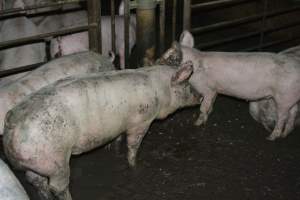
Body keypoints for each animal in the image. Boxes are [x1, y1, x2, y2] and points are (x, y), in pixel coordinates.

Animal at [2, 61, 202, 199]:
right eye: (187, 84)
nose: (201, 96)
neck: (160, 91)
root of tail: (11, 125)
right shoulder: (141, 121)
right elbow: (133, 145)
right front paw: (135, 165)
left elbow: (118, 138)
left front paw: (113, 148)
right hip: (55, 160)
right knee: (57, 186)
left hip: (35, 160)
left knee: (36, 181)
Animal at [158, 30, 300, 141]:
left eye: (169, 57)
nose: (156, 61)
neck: (195, 67)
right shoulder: (215, 90)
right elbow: (210, 105)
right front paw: (207, 116)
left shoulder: (208, 89)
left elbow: (203, 107)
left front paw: (196, 124)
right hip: (290, 98)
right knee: (292, 114)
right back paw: (285, 134)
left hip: (283, 97)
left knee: (282, 117)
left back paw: (271, 137)